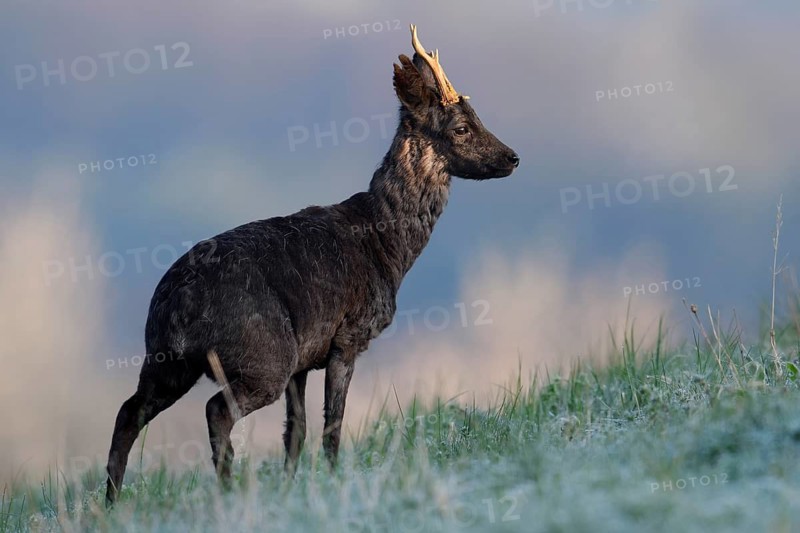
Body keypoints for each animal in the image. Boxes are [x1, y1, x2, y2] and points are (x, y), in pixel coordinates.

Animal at [104, 24, 519, 506]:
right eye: (462, 126)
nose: (512, 157)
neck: (386, 246)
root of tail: (175, 299)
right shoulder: (348, 335)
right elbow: (332, 426)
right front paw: (336, 483)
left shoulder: (304, 359)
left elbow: (296, 431)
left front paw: (291, 488)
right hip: (262, 353)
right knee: (215, 410)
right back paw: (227, 492)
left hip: (168, 360)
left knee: (129, 411)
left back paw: (111, 503)